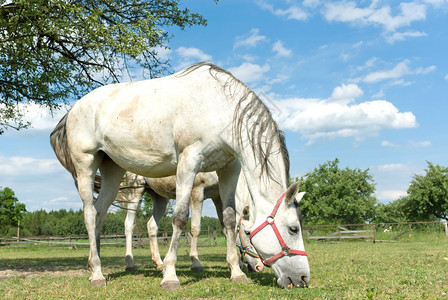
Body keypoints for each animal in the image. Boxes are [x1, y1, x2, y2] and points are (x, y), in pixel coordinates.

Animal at [97, 171, 262, 272]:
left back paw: (159, 263)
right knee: (129, 225)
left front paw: (237, 264)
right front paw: (196, 263)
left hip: (159, 197)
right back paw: (130, 264)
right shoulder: (197, 192)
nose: (259, 266)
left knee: (151, 226)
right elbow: (196, 228)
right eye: (247, 232)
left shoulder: (217, 196)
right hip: (136, 192)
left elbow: (226, 229)